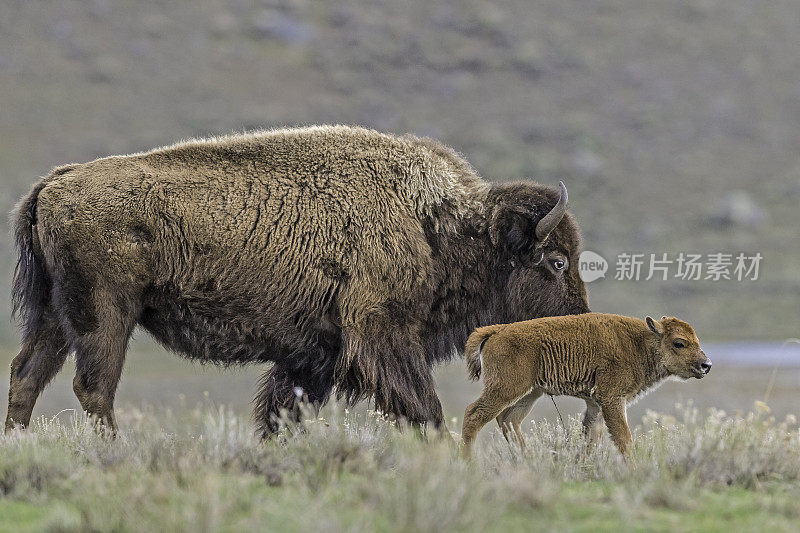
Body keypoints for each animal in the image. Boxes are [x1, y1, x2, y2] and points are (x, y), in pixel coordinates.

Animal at [6, 127, 592, 434]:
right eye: (557, 261)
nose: (582, 322)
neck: (434, 223)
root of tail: (54, 184)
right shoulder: (384, 336)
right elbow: (423, 408)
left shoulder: (313, 356)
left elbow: (282, 412)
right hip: (106, 316)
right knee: (93, 387)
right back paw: (113, 452)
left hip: (53, 316)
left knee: (27, 375)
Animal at [462, 312, 712, 458]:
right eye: (679, 343)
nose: (706, 365)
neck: (641, 342)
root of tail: (498, 330)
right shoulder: (612, 398)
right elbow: (623, 438)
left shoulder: (595, 404)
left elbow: (592, 436)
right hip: (507, 388)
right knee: (475, 414)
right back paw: (469, 463)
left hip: (530, 393)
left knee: (509, 420)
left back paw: (527, 458)